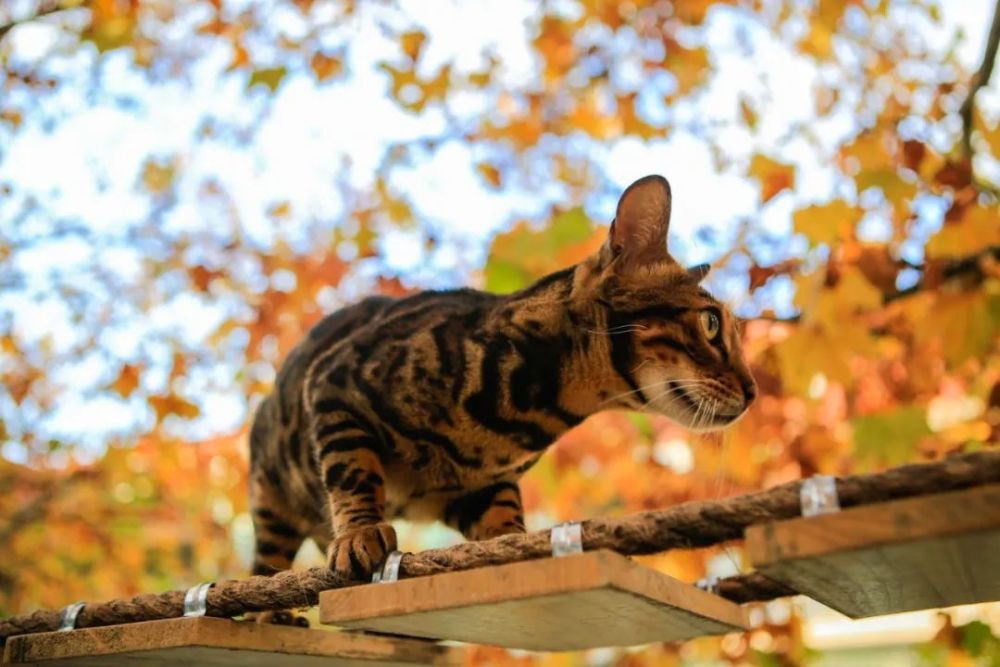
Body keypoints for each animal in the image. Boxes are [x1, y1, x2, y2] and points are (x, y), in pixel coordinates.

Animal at [246, 175, 752, 608]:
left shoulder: (481, 487)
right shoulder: (336, 383)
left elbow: (503, 514)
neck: (527, 415)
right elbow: (354, 470)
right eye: (711, 323)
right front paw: (359, 532)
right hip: (270, 495)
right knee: (266, 562)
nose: (751, 392)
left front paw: (516, 545)